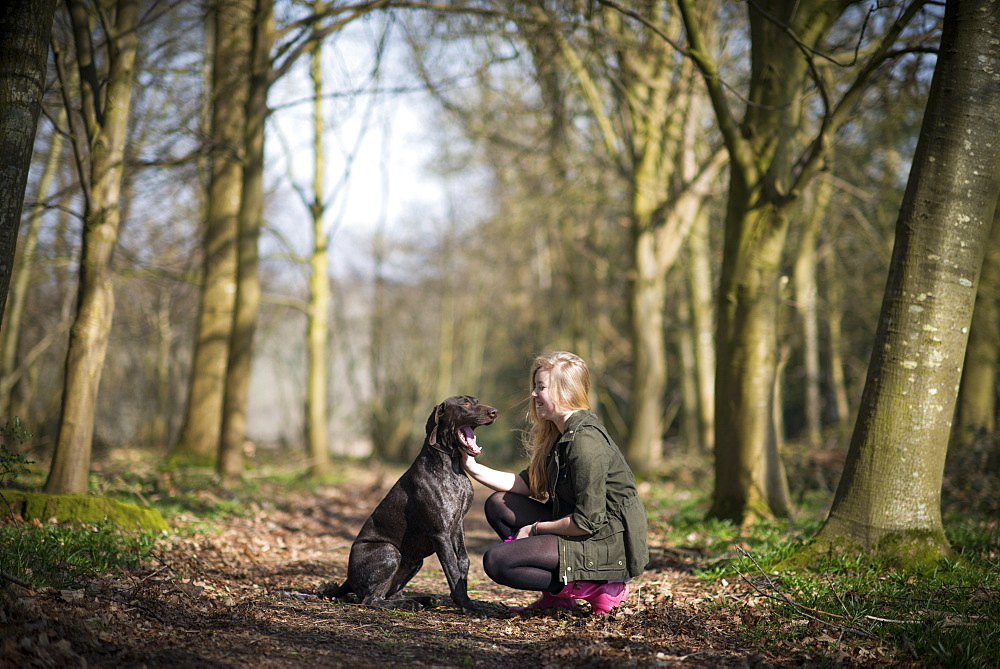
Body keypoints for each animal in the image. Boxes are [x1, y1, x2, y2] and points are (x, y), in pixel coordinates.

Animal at [318, 392, 498, 616]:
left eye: (476, 401)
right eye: (465, 403)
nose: (494, 412)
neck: (450, 464)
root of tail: (348, 580)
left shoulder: (457, 525)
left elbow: (463, 561)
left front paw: (463, 600)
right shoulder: (440, 533)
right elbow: (452, 569)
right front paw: (468, 607)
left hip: (414, 562)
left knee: (389, 595)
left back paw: (423, 600)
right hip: (389, 551)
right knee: (370, 600)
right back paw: (410, 604)